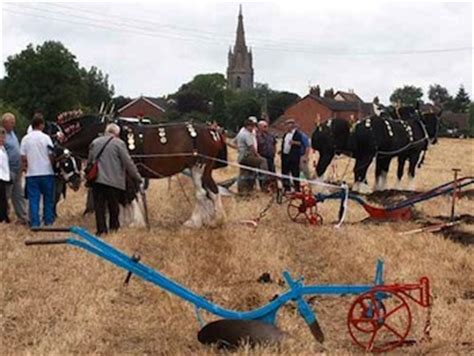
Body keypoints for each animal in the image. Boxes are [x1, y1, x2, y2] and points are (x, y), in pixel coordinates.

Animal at [53, 111, 228, 228]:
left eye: (67, 161)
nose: (76, 182)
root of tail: (213, 131)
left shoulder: (127, 172)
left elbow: (129, 196)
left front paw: (135, 222)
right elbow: (124, 197)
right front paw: (125, 221)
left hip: (198, 167)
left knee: (201, 193)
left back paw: (194, 222)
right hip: (203, 170)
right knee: (212, 191)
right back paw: (215, 220)